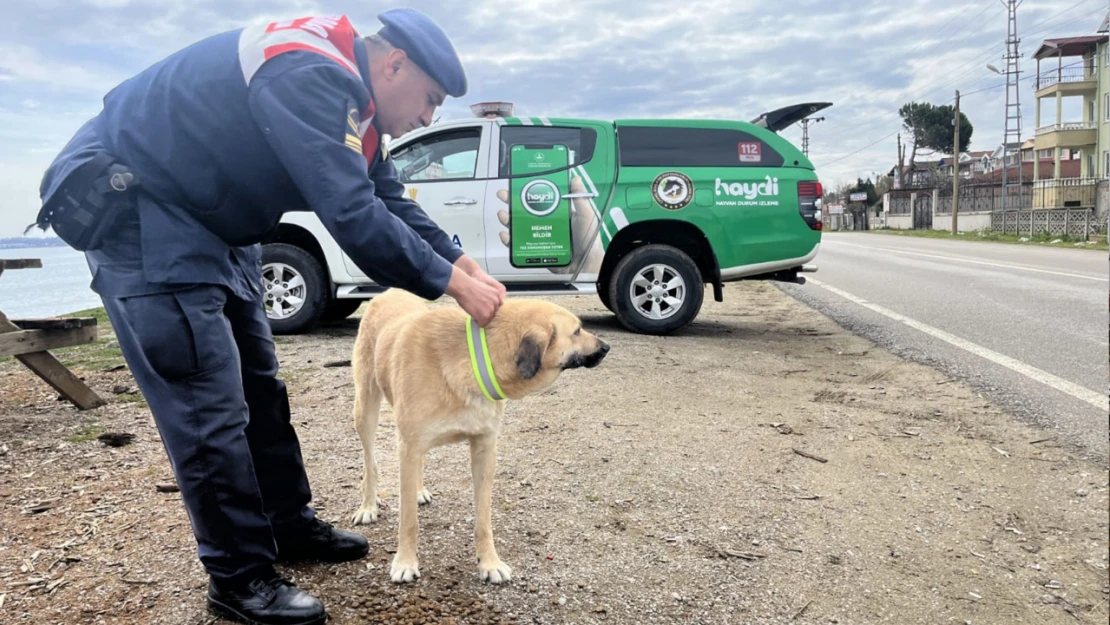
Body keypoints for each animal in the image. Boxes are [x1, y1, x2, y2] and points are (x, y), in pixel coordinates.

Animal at [348, 290, 612, 586]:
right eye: (577, 331)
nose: (606, 347)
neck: (473, 358)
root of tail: (389, 292)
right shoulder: (409, 444)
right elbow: (408, 521)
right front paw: (405, 562)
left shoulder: (484, 449)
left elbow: (483, 520)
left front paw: (489, 563)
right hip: (366, 411)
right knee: (370, 463)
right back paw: (368, 506)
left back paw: (417, 491)